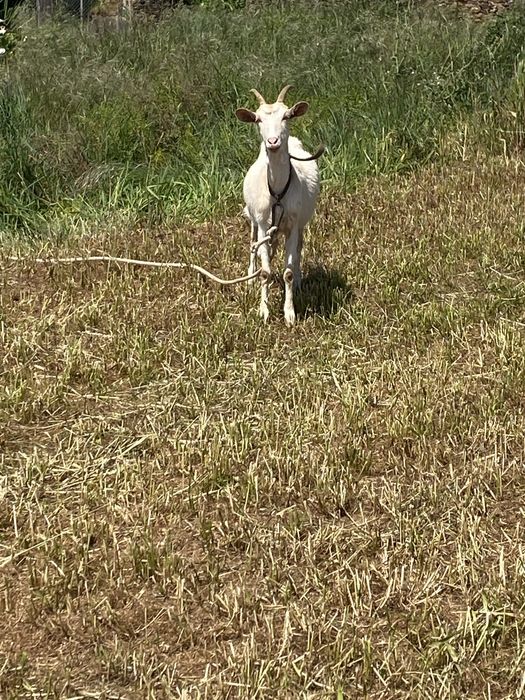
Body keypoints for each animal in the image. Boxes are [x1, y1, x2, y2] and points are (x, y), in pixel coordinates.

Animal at [235, 85, 321, 326]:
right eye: (257, 119)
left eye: (287, 116)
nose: (273, 142)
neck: (278, 192)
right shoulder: (264, 223)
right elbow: (265, 271)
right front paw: (264, 311)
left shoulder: (292, 224)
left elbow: (288, 272)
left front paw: (290, 314)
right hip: (255, 220)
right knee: (254, 244)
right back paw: (251, 276)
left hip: (300, 223)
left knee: (298, 247)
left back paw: (299, 281)